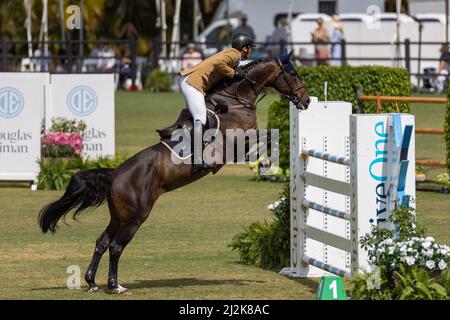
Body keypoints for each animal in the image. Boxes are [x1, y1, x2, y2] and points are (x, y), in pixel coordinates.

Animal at [38, 53, 310, 294]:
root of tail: (115, 173)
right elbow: (268, 137)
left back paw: (93, 282)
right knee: (115, 246)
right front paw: (267, 164)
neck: (236, 99)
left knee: (102, 242)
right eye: (294, 74)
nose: (306, 101)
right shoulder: (236, 143)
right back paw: (115, 286)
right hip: (136, 216)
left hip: (119, 216)